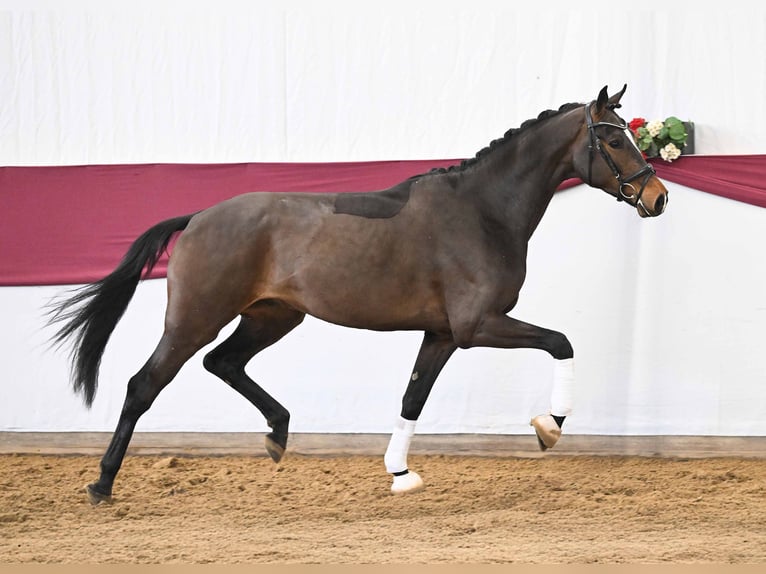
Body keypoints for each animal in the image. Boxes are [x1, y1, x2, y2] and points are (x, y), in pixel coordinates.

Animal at [47, 85, 669, 504]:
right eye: (615, 138)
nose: (658, 197)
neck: (482, 211)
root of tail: (198, 216)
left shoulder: (443, 333)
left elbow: (413, 397)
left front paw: (401, 473)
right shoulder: (477, 325)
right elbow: (561, 342)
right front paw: (549, 427)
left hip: (273, 317)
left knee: (223, 362)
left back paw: (278, 434)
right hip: (195, 318)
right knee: (144, 385)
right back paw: (102, 484)